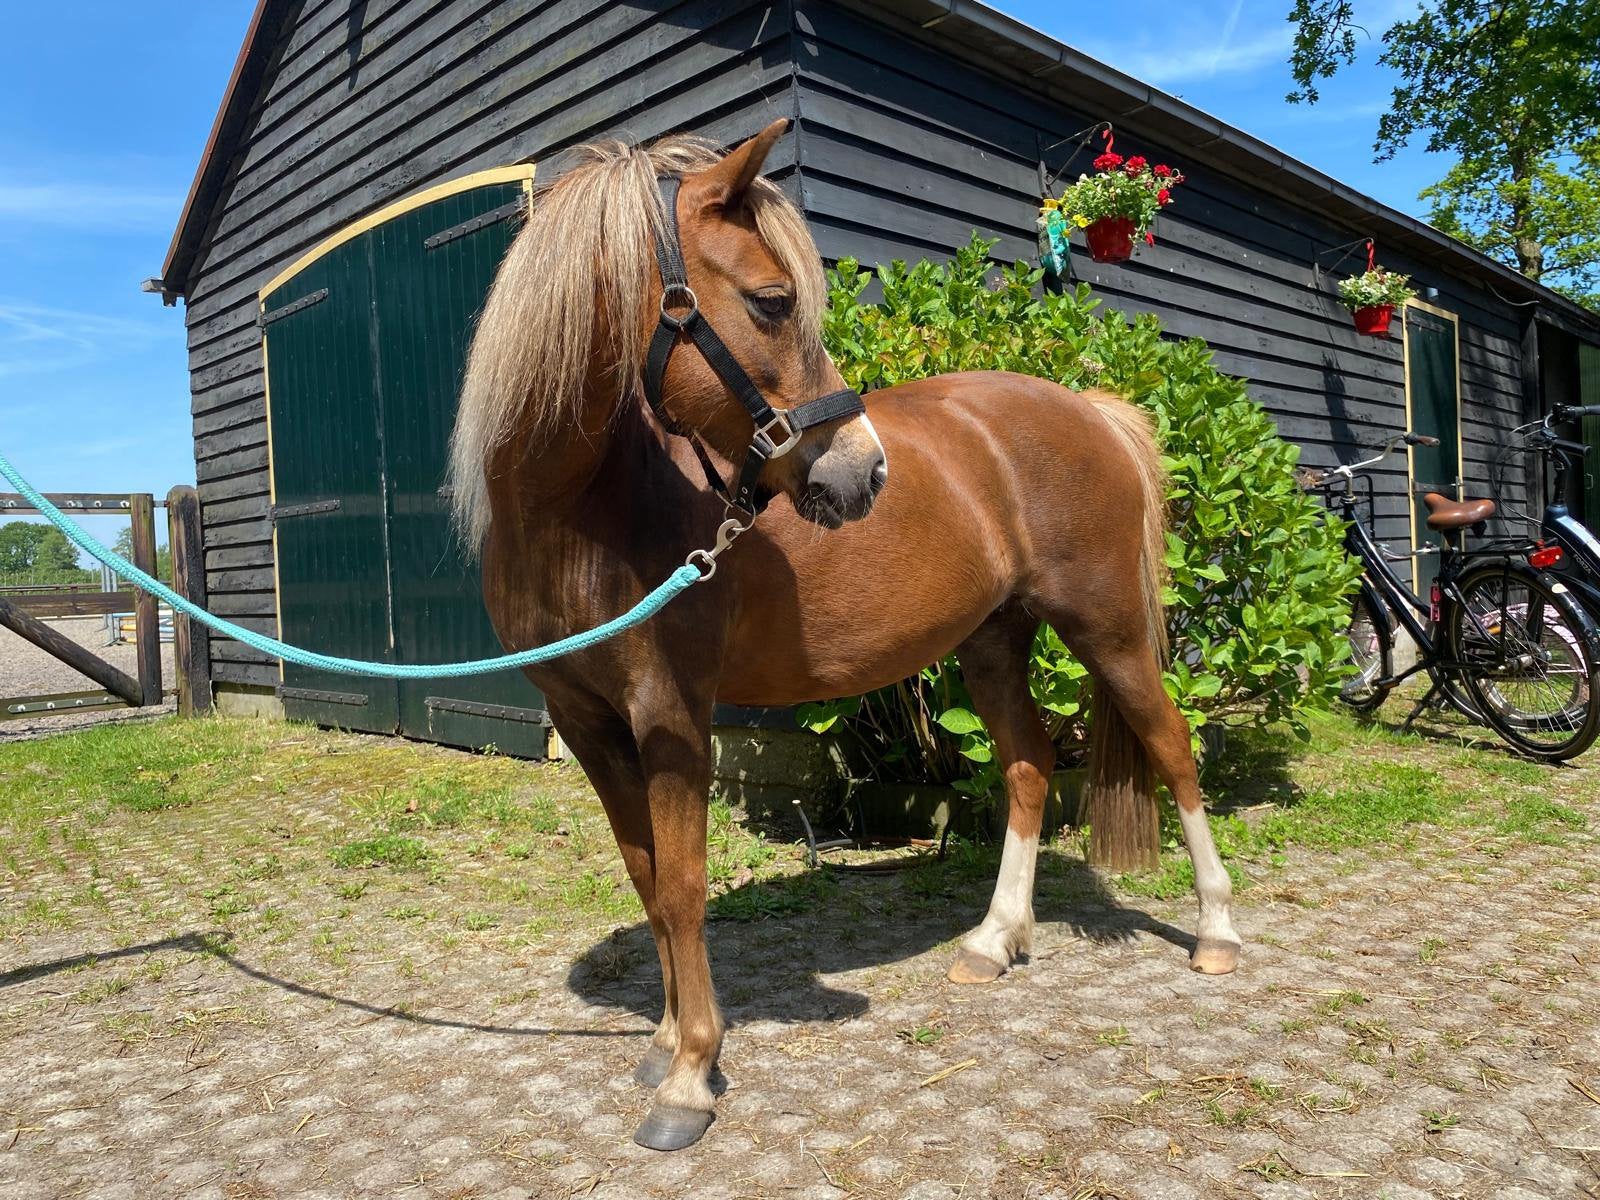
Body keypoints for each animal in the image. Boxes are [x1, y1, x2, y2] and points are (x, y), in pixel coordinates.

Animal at [447, 118, 1240, 1151]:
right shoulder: (587, 725)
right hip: (992, 642)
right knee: (1028, 767)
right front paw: (663, 1044)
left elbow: (685, 884)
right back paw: (994, 942)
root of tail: (1090, 409)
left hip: (1107, 631)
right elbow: (646, 877)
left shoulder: (671, 716)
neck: (583, 509)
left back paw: (1217, 934)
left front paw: (690, 1077)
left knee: (1174, 748)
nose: (866, 473)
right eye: (771, 300)